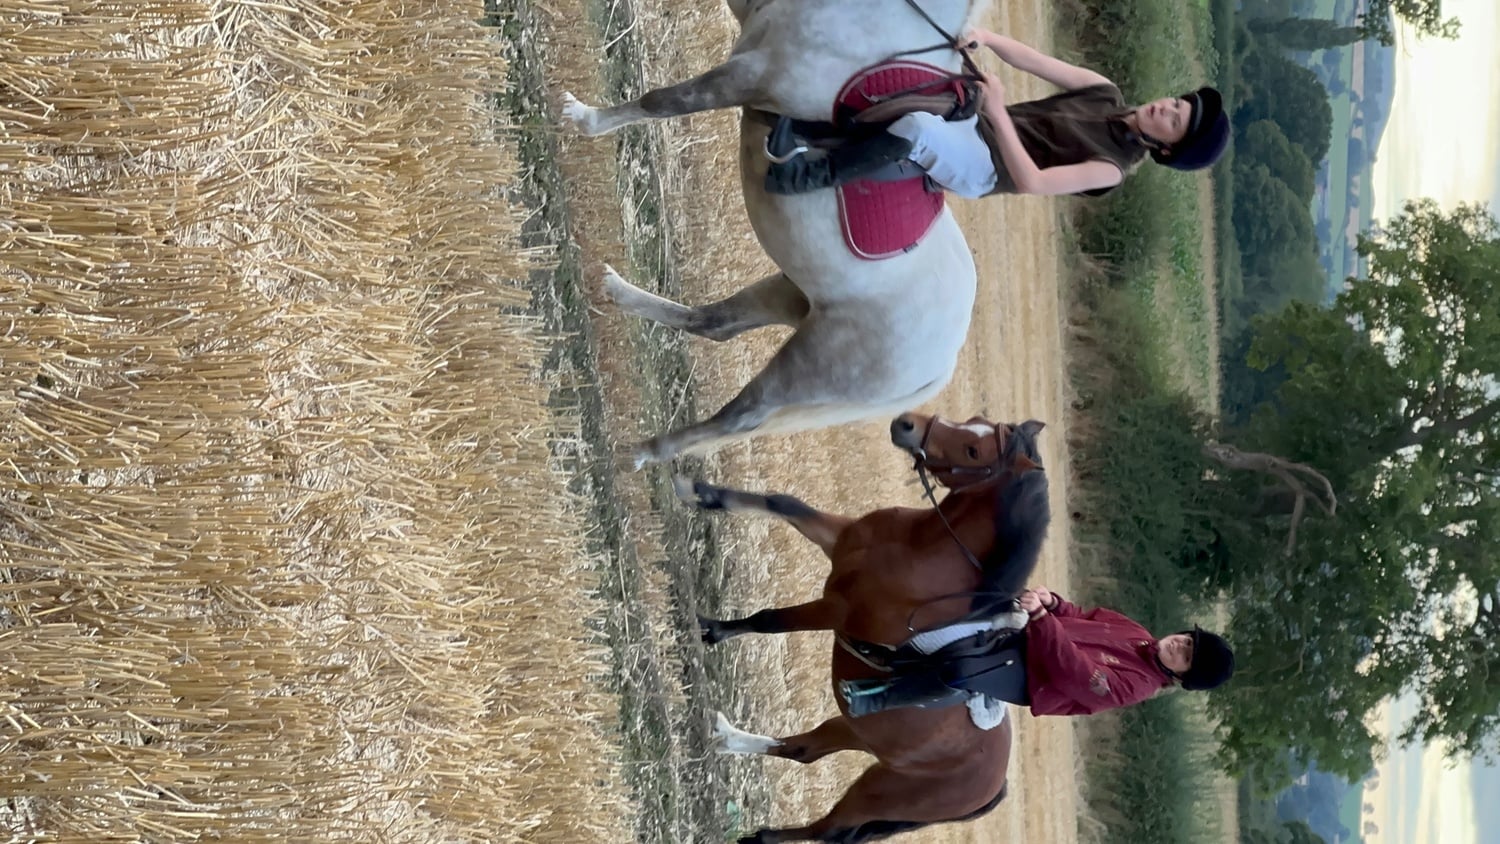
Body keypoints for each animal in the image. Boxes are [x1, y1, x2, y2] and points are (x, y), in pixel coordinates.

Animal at [562, 0, 990, 467]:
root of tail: (943, 360)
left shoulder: (747, 75)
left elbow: (660, 102)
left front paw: (585, 118)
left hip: (806, 370)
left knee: (742, 414)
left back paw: (641, 453)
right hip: (787, 295)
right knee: (714, 324)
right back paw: (616, 291)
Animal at [677, 410, 1050, 843]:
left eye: (974, 451)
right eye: (975, 420)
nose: (906, 424)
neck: (919, 549)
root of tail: (995, 785)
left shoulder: (836, 609)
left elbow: (768, 620)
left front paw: (711, 630)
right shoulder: (838, 538)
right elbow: (782, 502)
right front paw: (699, 491)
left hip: (876, 792)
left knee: (829, 829)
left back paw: (761, 834)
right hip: (858, 732)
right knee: (803, 751)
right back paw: (728, 740)